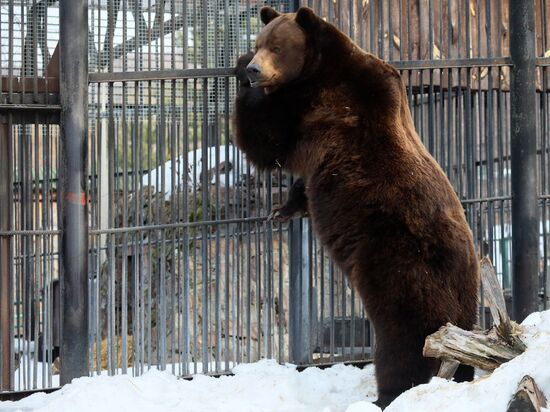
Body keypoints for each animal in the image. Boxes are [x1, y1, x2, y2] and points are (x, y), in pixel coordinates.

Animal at [235, 6, 480, 408]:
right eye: (260, 43)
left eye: (275, 47)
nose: (255, 68)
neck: (320, 68)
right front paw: (284, 209)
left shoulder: (318, 108)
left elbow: (267, 141)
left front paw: (239, 72)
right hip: (456, 299)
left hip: (402, 268)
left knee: (406, 343)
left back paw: (390, 394)